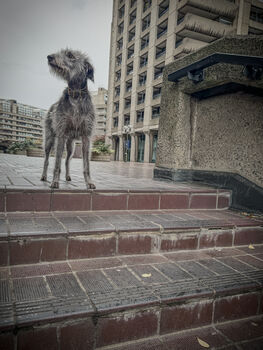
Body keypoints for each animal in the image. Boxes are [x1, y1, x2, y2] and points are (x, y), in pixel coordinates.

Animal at [40, 48, 96, 189]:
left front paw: (89, 182)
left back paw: (67, 176)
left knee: (67, 160)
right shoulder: (61, 134)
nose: (49, 57)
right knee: (47, 159)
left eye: (70, 55)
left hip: (71, 144)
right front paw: (55, 181)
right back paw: (44, 176)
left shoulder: (86, 137)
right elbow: (56, 163)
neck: (76, 96)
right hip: (49, 140)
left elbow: (86, 165)